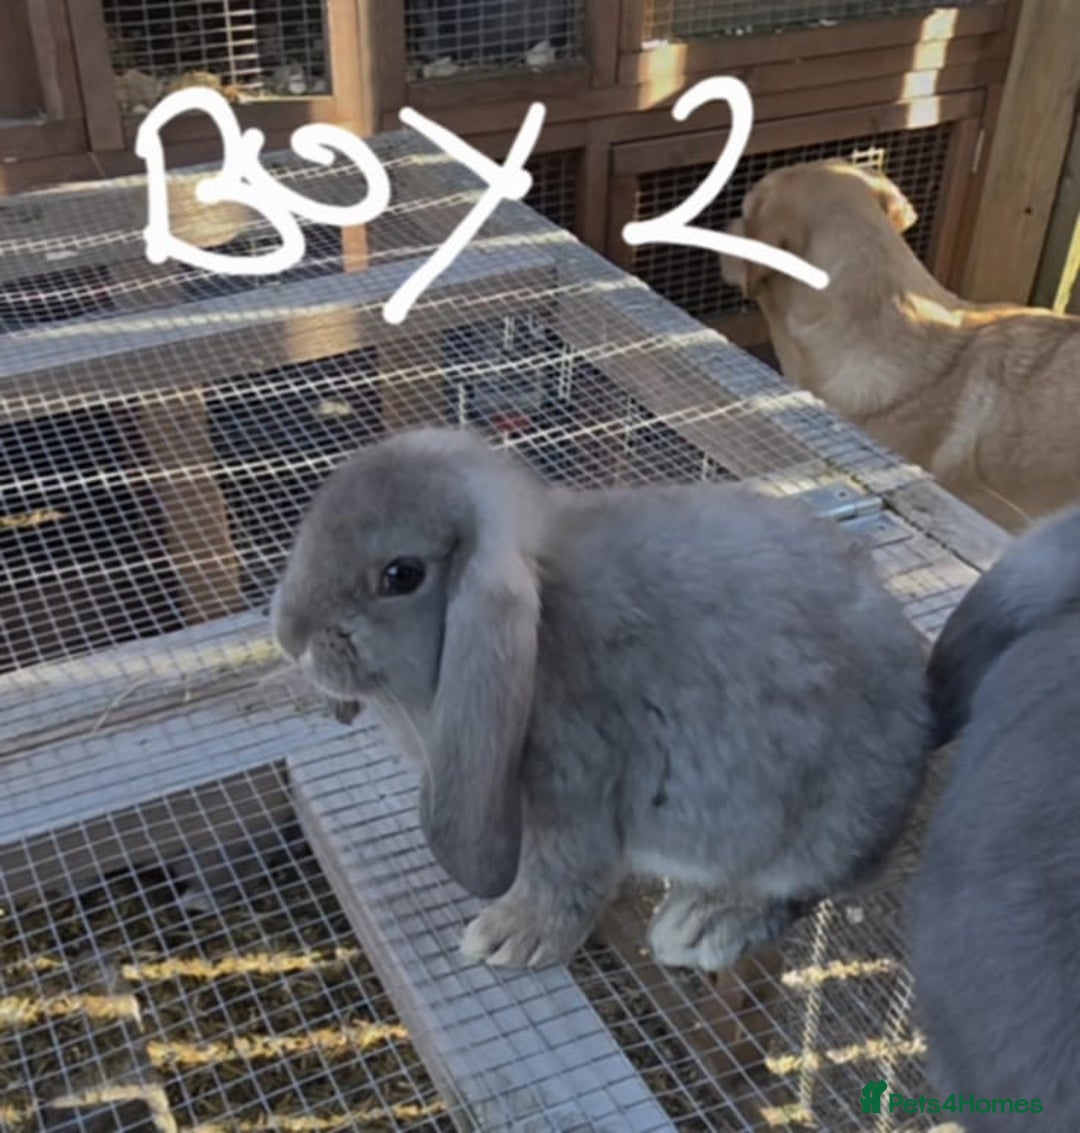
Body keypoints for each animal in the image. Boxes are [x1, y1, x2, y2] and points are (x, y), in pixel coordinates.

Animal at [271, 426, 932, 972]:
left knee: (800, 883)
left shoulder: (576, 785)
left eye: (400, 575)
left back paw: (701, 925)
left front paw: (514, 936)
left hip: (810, 825)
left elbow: (565, 874)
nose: (288, 637)